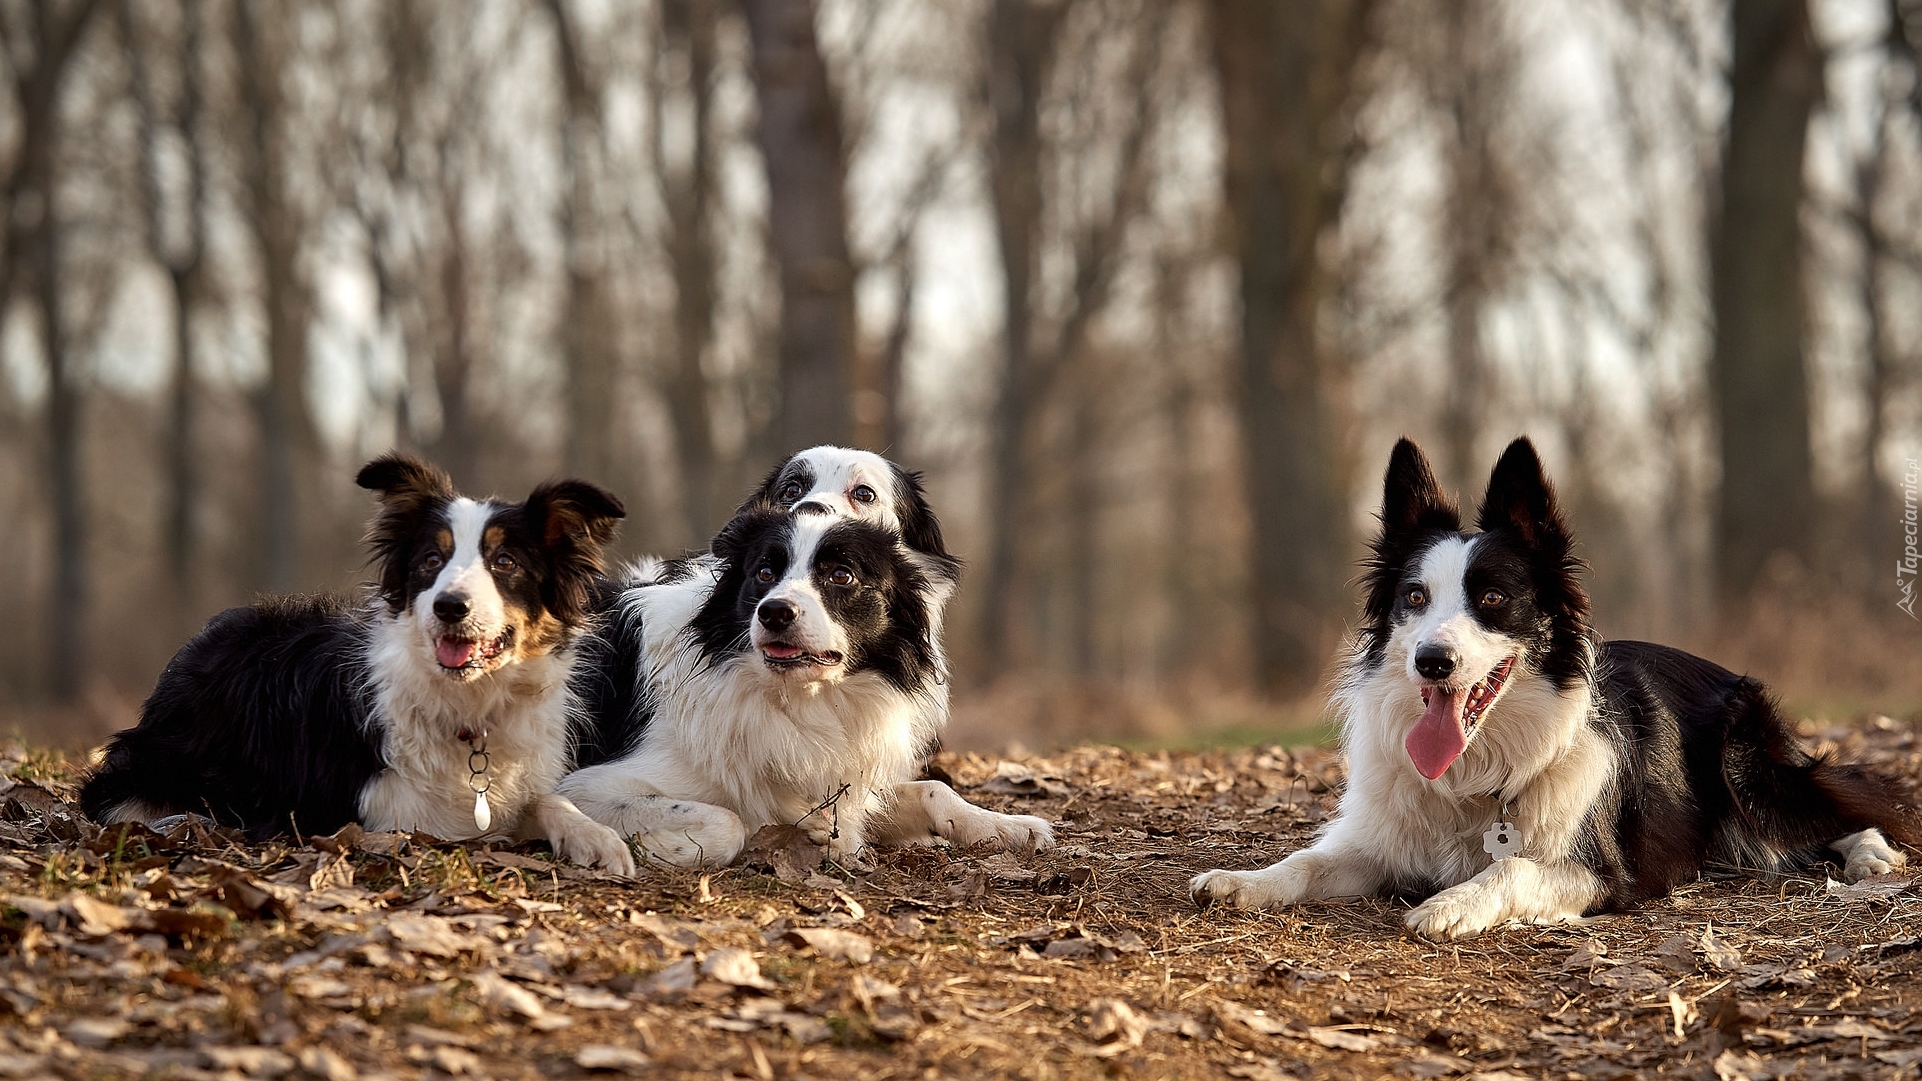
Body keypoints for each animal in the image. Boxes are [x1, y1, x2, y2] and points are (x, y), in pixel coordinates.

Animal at [82, 450, 638, 869]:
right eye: (430, 561)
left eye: (506, 563)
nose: (449, 606)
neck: (469, 706)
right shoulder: (387, 814)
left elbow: (545, 798)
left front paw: (597, 838)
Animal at [561, 503, 1060, 865]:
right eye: (764, 572)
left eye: (841, 575)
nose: (774, 612)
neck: (798, 697)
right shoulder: (587, 785)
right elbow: (728, 822)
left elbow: (935, 789)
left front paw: (1008, 826)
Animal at [1191, 434, 1914, 934]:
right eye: (1414, 598)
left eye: (1491, 598)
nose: (1431, 661)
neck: (1478, 769)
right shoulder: (1380, 839)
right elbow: (1307, 860)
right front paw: (1241, 880)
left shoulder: (1603, 872)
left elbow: (1511, 864)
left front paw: (1452, 902)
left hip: (1750, 770)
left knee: (1852, 800)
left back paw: (1870, 855)